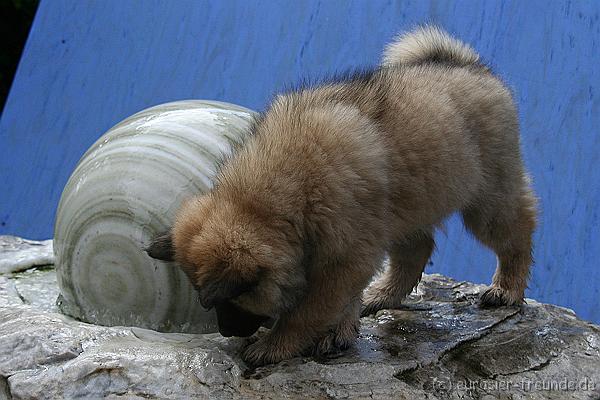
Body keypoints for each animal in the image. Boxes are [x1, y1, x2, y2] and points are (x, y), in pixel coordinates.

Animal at [146, 25, 540, 366]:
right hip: (406, 207)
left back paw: (507, 289)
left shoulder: (343, 260)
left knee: (517, 233)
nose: (227, 332)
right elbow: (343, 301)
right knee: (417, 248)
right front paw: (340, 332)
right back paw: (383, 295)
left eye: (234, 299)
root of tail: (467, 65)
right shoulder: (352, 254)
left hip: (488, 199)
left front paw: (277, 344)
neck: (276, 198)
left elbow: (306, 312)